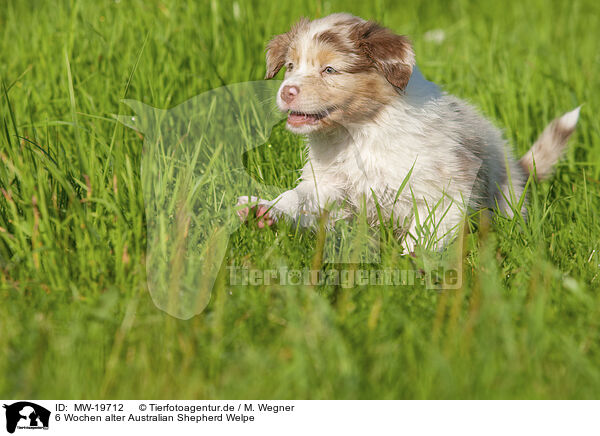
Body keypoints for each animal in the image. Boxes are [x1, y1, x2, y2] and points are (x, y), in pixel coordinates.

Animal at [237, 12, 580, 252]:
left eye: (330, 70)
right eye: (290, 66)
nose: (286, 92)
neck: (359, 130)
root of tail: (519, 171)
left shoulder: (443, 189)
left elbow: (426, 232)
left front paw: (409, 266)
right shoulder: (330, 182)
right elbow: (299, 196)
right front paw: (264, 209)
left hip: (505, 197)